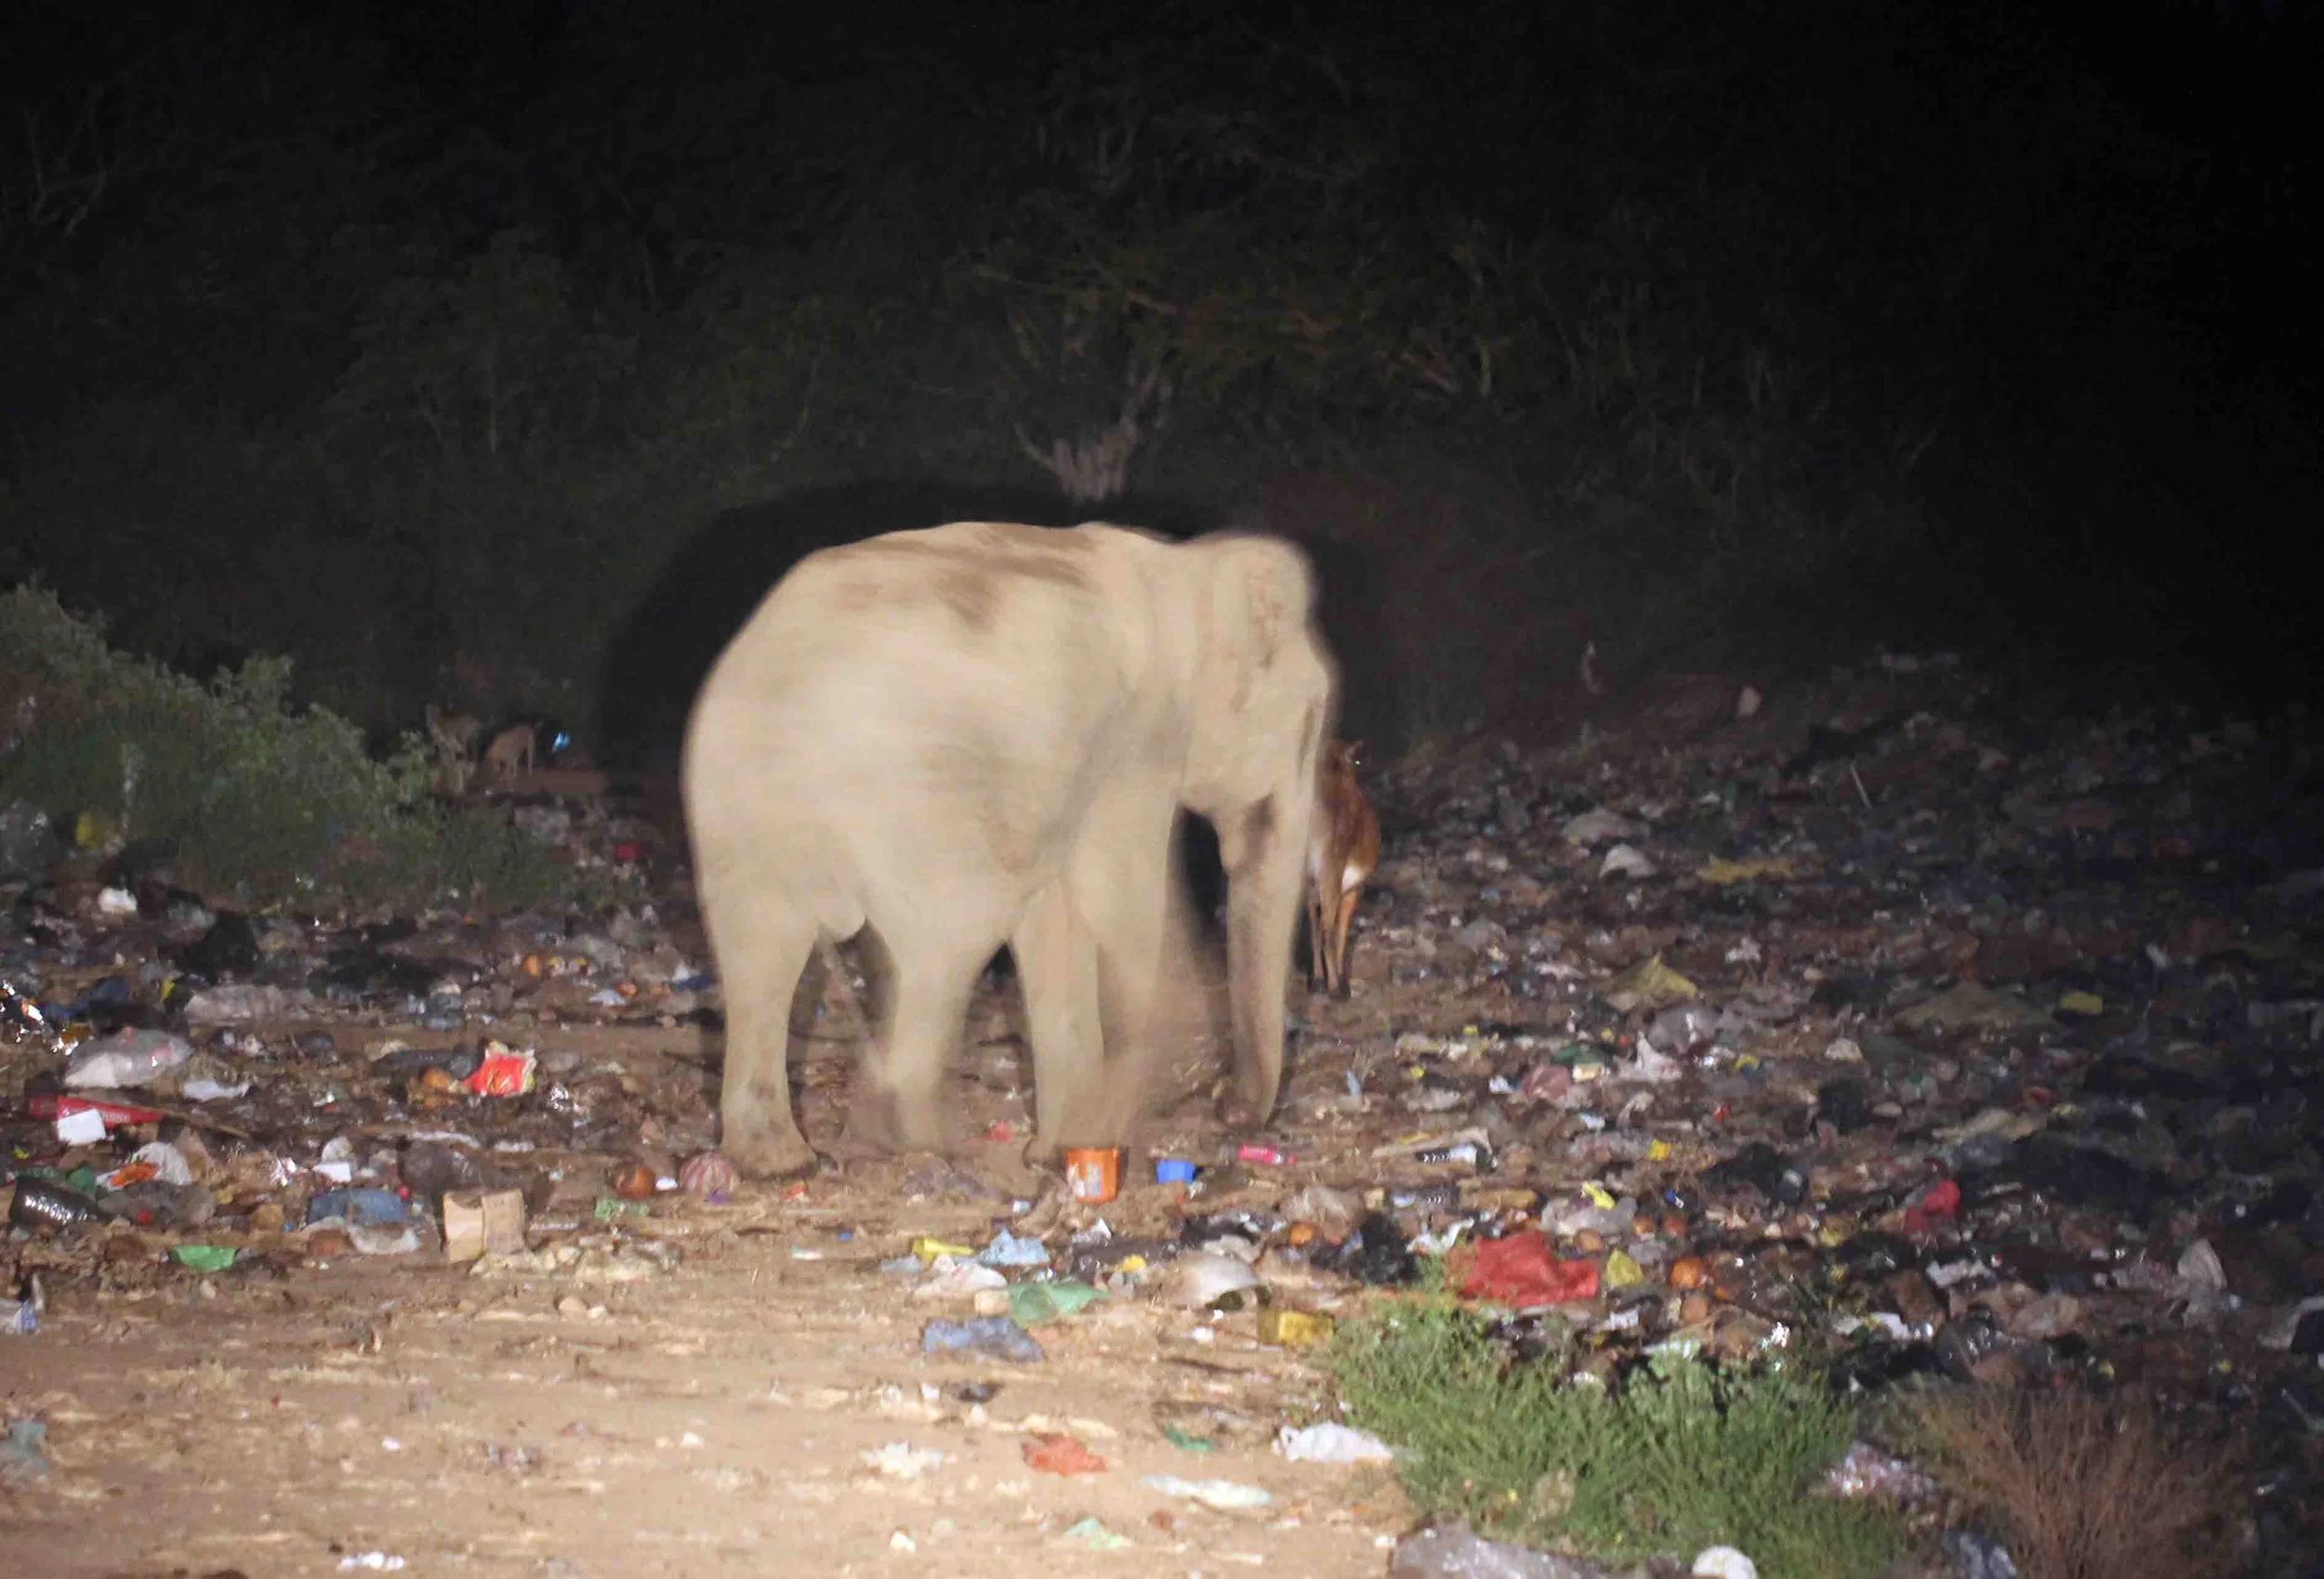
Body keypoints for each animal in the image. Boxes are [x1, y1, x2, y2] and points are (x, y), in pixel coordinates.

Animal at [681, 518, 1339, 1179]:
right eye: (1311, 720)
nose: (1228, 1110)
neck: (1184, 567)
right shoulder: (1141, 739)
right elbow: (1117, 898)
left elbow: (1058, 915)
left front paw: (1060, 1150)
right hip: (916, 806)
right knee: (941, 946)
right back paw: (910, 1136)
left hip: (737, 807)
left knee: (764, 950)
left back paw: (782, 1160)